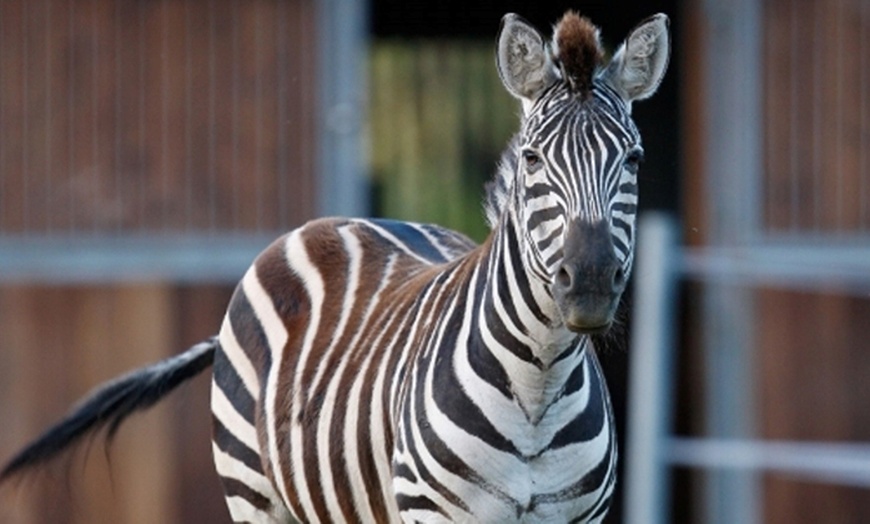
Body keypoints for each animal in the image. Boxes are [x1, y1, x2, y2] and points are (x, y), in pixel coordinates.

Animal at [0, 10, 672, 520]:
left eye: (635, 159)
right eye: (532, 158)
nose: (589, 283)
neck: (537, 385)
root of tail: (338, 220)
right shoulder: (429, 512)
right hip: (253, 491)